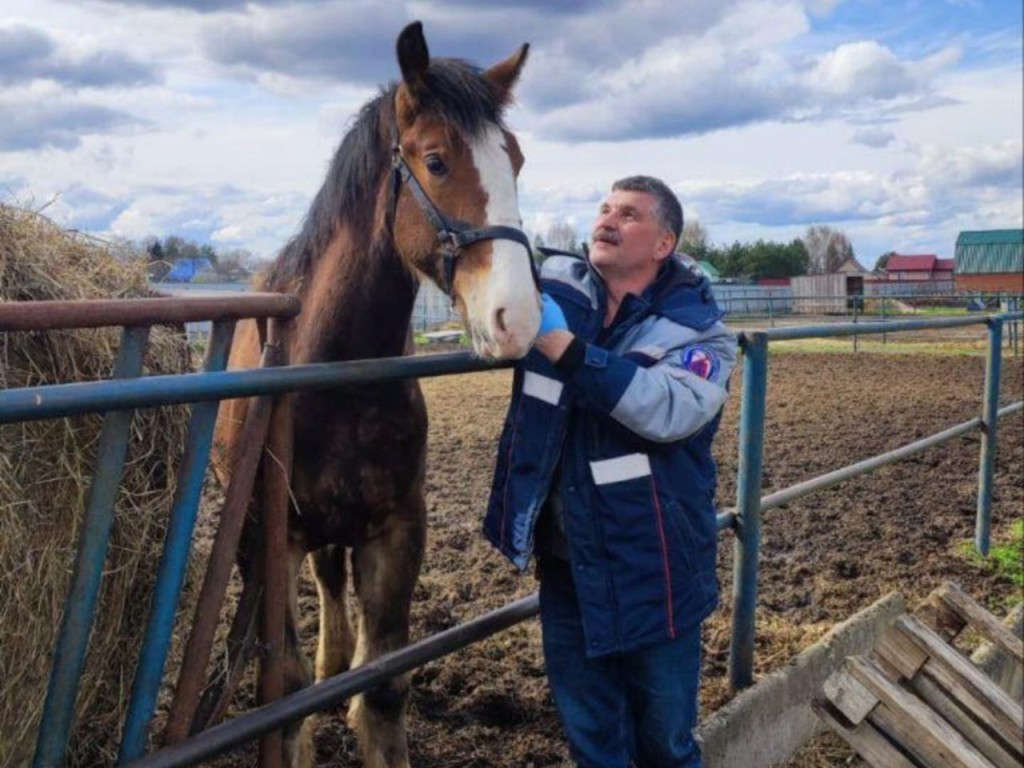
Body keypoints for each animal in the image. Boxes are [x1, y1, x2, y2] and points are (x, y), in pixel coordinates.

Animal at [212, 20, 540, 768]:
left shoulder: (397, 528)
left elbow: (385, 684)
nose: (517, 317)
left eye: (515, 160)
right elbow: (286, 693)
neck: (336, 379)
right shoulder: (269, 542)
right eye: (436, 161)